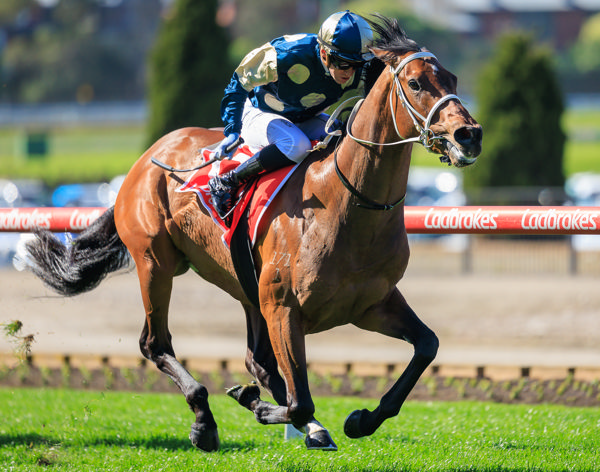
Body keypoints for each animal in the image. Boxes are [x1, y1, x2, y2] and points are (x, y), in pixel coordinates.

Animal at [21, 16, 482, 452]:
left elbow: (426, 346)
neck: (348, 204)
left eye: (453, 79)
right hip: (156, 263)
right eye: (415, 82)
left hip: (245, 286)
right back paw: (205, 420)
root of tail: (148, 157)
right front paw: (265, 408)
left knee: (256, 360)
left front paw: (361, 419)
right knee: (155, 343)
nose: (469, 135)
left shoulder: (372, 304)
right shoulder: (283, 308)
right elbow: (301, 400)